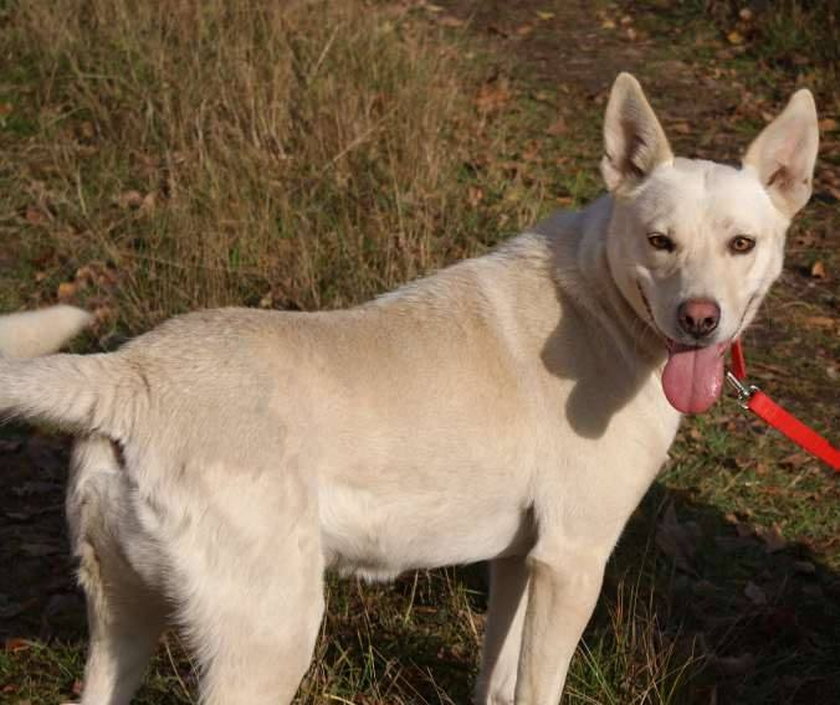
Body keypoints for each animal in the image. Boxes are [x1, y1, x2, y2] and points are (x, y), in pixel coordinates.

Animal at [0, 73, 812, 704]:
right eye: (659, 241)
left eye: (742, 244)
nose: (700, 320)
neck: (601, 302)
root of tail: (131, 372)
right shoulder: (572, 561)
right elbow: (539, 685)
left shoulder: (518, 561)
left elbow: (497, 679)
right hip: (269, 641)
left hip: (122, 629)